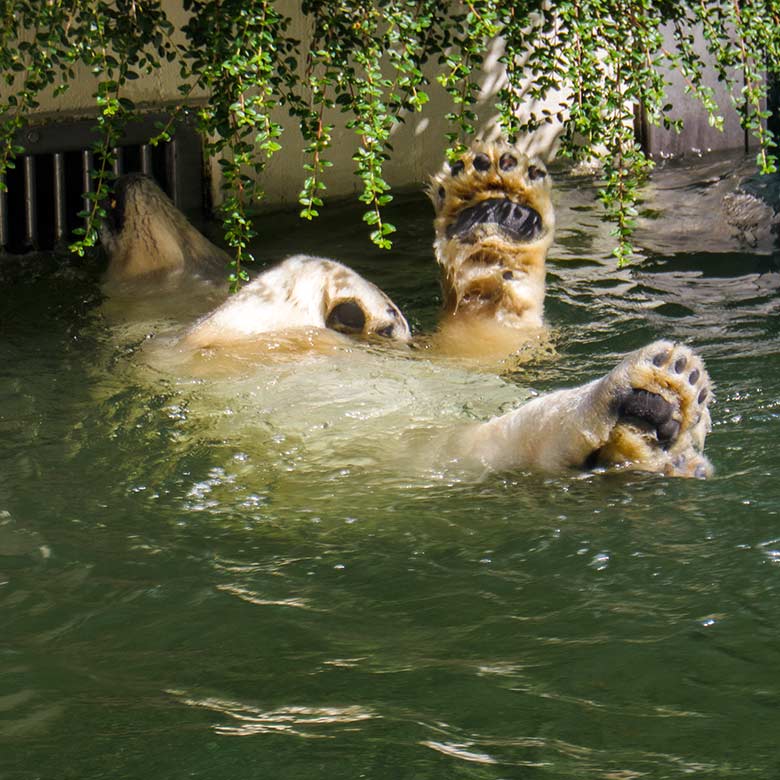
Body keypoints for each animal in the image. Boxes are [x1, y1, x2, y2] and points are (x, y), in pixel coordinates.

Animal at [97, 143, 712, 478]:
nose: (127, 180)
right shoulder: (177, 352)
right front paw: (363, 306)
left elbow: (482, 346)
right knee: (489, 443)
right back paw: (647, 407)